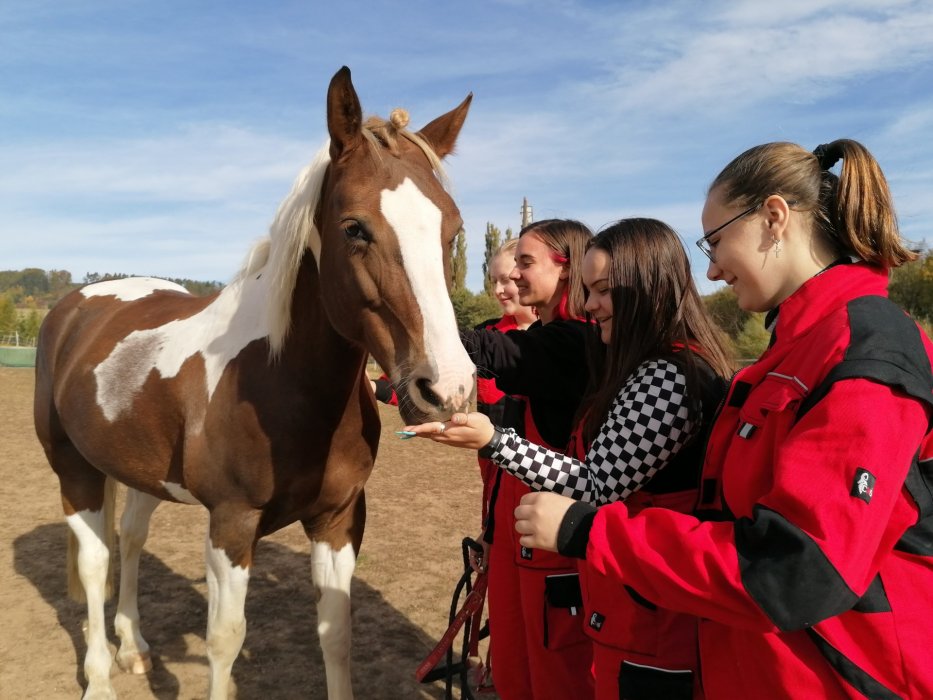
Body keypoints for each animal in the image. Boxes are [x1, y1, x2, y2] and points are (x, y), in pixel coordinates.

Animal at [32, 63, 476, 696]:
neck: (280, 381)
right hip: (75, 469)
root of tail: (77, 305)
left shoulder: (338, 521)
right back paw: (98, 678)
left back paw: (134, 647)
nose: (448, 389)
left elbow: (336, 634)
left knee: (131, 540)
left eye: (452, 230)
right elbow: (225, 640)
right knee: (95, 564)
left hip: (139, 473)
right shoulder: (231, 525)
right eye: (354, 228)